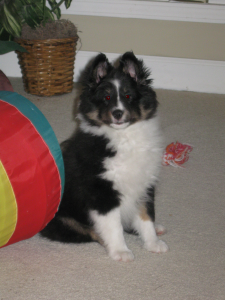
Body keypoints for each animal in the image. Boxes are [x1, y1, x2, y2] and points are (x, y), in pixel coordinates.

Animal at [40, 52, 168, 262]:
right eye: (106, 97)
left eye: (128, 96)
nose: (117, 113)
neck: (124, 137)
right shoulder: (102, 192)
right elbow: (113, 225)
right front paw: (121, 251)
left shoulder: (144, 184)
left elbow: (146, 216)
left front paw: (153, 243)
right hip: (64, 219)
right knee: (91, 232)